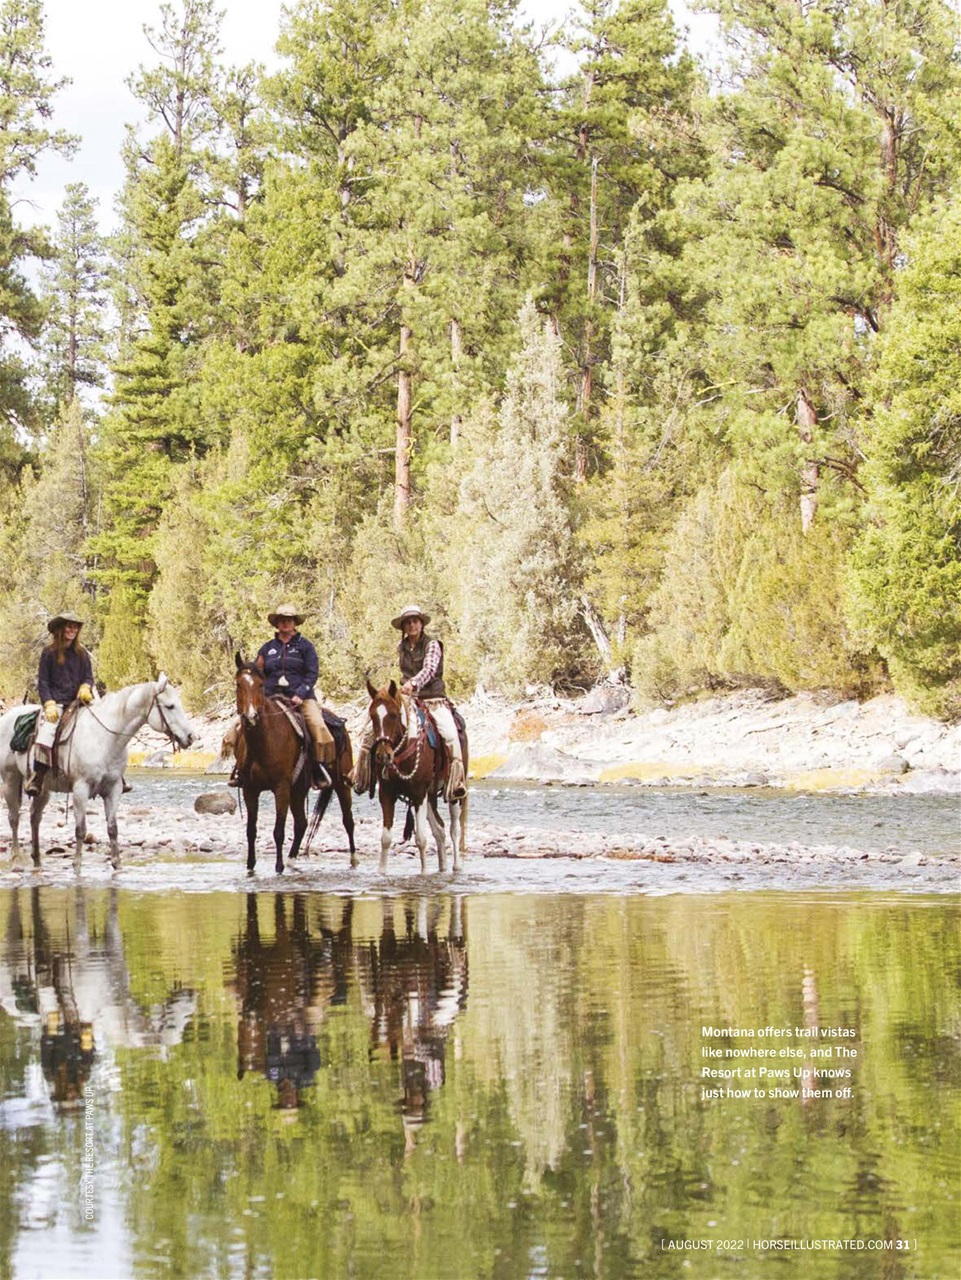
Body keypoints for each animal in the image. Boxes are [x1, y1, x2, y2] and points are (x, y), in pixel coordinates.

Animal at [0, 674, 195, 872]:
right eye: (170, 706)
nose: (191, 737)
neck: (105, 738)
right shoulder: (81, 789)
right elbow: (80, 829)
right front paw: (77, 865)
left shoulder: (113, 789)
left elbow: (113, 828)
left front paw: (116, 863)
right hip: (10, 779)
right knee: (14, 818)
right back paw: (16, 859)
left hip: (43, 788)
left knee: (34, 818)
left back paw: (37, 861)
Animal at [234, 655, 355, 874]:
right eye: (239, 684)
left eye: (260, 684)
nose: (251, 716)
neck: (263, 742)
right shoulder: (250, 789)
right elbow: (251, 830)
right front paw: (250, 865)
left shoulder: (281, 788)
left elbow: (279, 831)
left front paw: (278, 866)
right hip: (299, 790)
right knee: (301, 823)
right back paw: (291, 859)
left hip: (341, 784)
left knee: (348, 821)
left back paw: (353, 859)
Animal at [364, 679, 468, 874]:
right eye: (372, 716)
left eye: (393, 715)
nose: (383, 756)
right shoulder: (386, 794)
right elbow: (386, 838)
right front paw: (381, 872)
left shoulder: (419, 794)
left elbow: (421, 838)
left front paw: (424, 873)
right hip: (430, 796)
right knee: (440, 829)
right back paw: (442, 867)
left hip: (452, 791)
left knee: (453, 829)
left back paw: (456, 866)